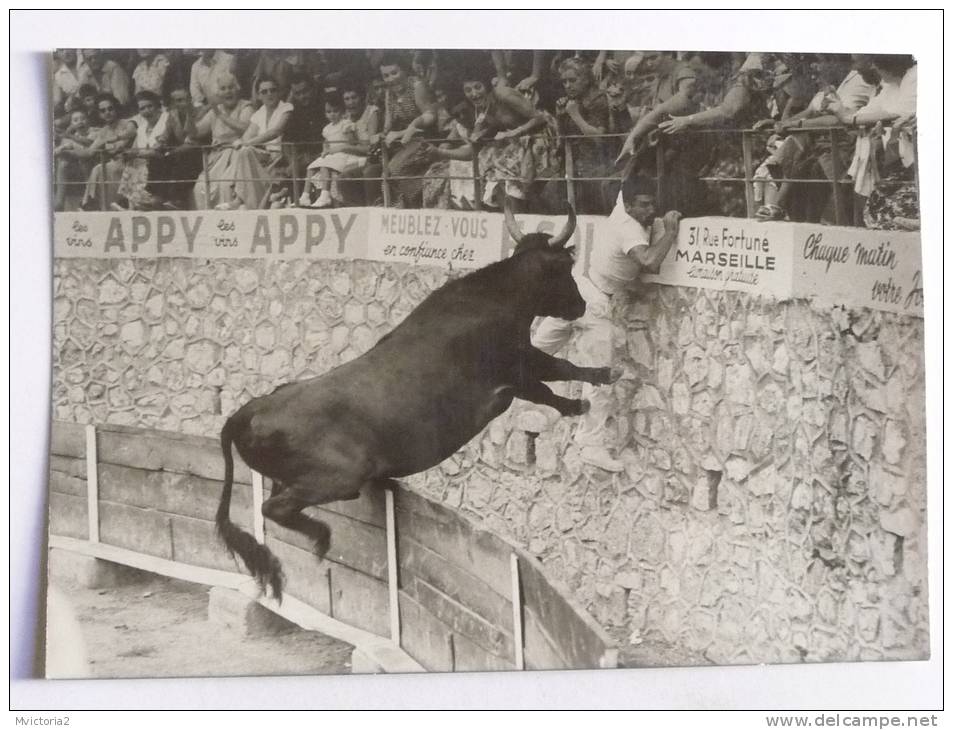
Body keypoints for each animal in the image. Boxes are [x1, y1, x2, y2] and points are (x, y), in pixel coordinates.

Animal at [218, 200, 624, 596]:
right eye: (564, 268)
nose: (581, 306)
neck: (492, 299)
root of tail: (251, 410)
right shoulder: (515, 370)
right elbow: (554, 376)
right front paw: (589, 393)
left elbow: (555, 374)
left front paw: (596, 384)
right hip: (338, 475)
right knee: (274, 508)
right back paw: (321, 538)